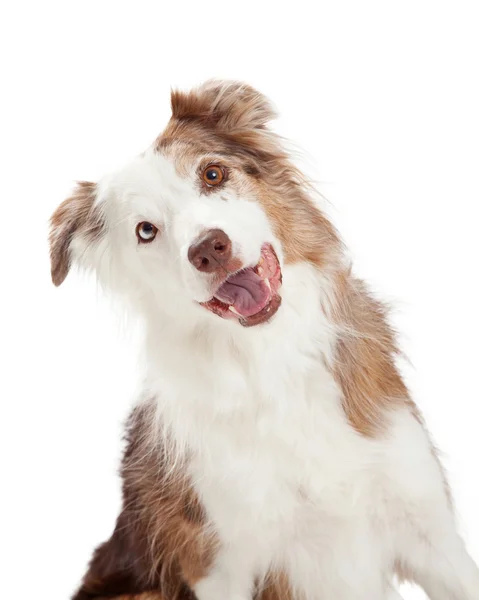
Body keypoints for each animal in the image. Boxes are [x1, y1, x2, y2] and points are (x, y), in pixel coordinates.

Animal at [49, 81, 479, 600]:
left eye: (213, 173)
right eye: (145, 230)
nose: (209, 249)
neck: (272, 357)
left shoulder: (430, 530)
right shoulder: (220, 565)